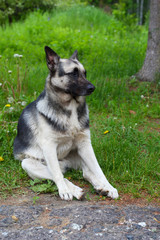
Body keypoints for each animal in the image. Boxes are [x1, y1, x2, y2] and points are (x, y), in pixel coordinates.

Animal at [13, 45, 119, 201]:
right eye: (73, 74)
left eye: (84, 73)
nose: (92, 88)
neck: (71, 107)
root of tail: (65, 163)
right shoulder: (49, 147)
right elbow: (57, 174)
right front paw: (64, 191)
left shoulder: (85, 145)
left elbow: (98, 170)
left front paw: (109, 186)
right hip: (29, 163)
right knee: (60, 174)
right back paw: (74, 190)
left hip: (81, 156)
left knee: (87, 172)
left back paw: (101, 187)